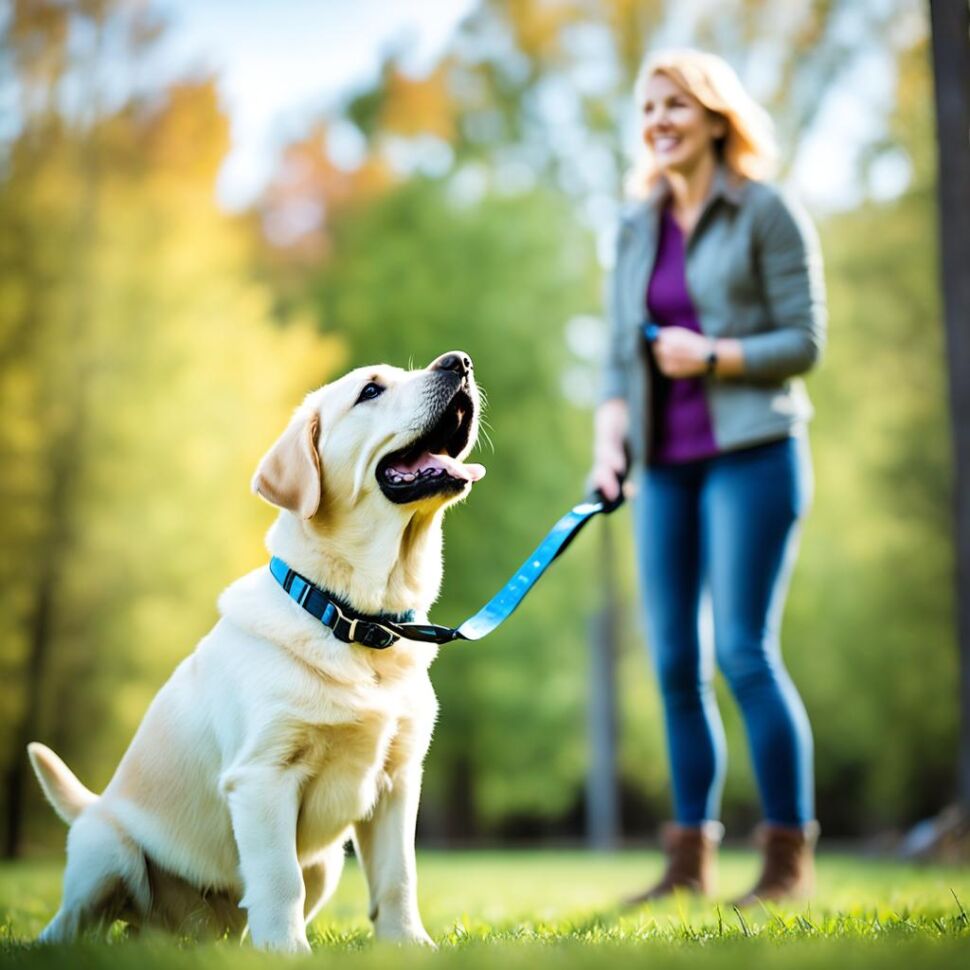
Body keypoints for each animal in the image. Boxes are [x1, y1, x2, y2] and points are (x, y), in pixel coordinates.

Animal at [30, 352, 484, 948]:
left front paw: (408, 946)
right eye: (370, 391)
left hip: (326, 864)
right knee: (73, 922)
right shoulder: (264, 776)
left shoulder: (399, 779)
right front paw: (288, 953)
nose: (460, 362)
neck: (354, 620)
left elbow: (398, 876)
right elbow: (277, 877)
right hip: (107, 847)